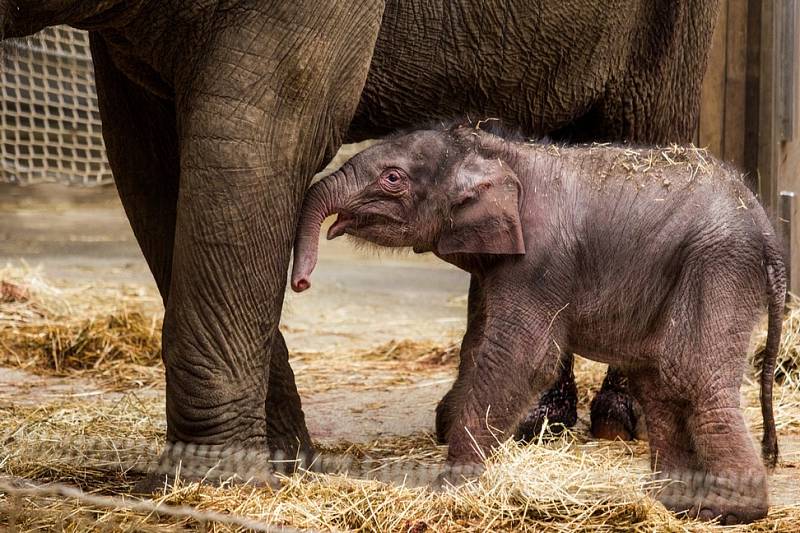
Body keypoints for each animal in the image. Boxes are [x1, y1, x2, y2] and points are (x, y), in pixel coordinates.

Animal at [1, 0, 720, 482]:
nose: (303, 278)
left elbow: (256, 139)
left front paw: (219, 482)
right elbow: (150, 165)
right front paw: (284, 463)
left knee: (643, 127)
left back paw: (617, 422)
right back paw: (528, 424)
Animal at [290, 121, 784, 524]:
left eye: (392, 178)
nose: (301, 282)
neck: (496, 148)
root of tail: (765, 224)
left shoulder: (539, 261)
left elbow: (522, 357)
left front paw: (448, 493)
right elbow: (479, 346)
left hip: (719, 264)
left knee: (690, 375)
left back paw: (729, 511)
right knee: (659, 382)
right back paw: (673, 504)